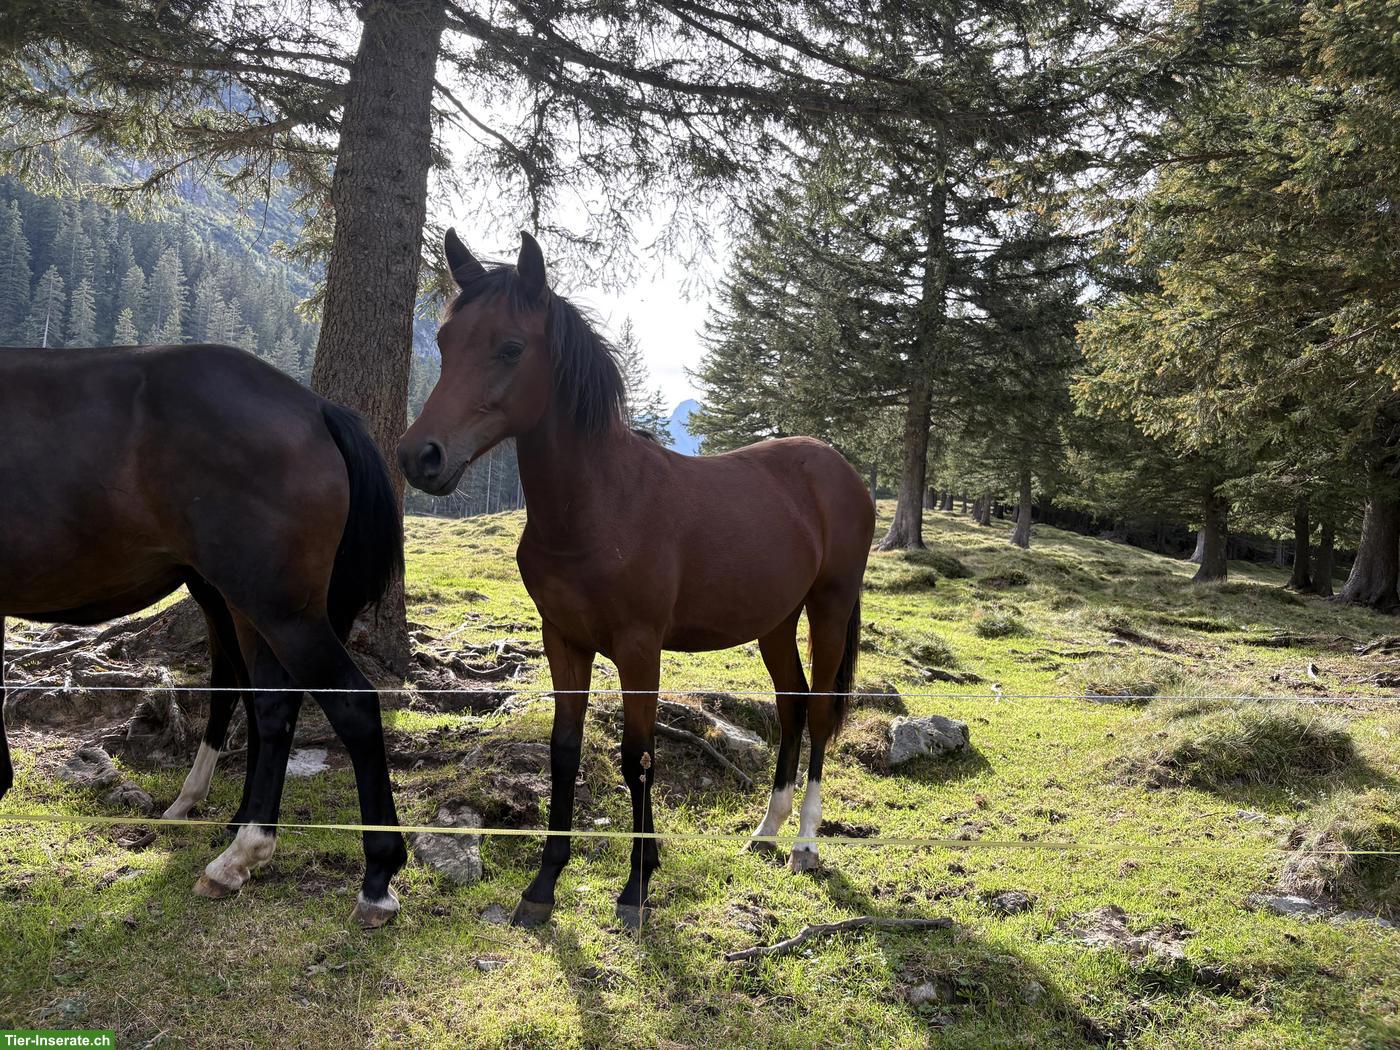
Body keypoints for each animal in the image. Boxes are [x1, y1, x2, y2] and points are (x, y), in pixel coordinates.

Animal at [0, 343, 407, 927]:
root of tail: (315, 407)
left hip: (279, 612)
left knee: (349, 706)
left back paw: (373, 876)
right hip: (245, 605)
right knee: (269, 704)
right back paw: (238, 848)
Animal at [398, 230, 875, 927]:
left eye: (511, 347)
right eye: (444, 339)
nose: (420, 457)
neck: (599, 507)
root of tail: (838, 469)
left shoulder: (639, 648)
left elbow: (638, 758)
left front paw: (637, 886)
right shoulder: (564, 641)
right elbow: (565, 752)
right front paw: (543, 885)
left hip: (830, 607)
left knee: (816, 712)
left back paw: (806, 843)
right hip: (775, 622)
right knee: (790, 706)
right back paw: (766, 831)